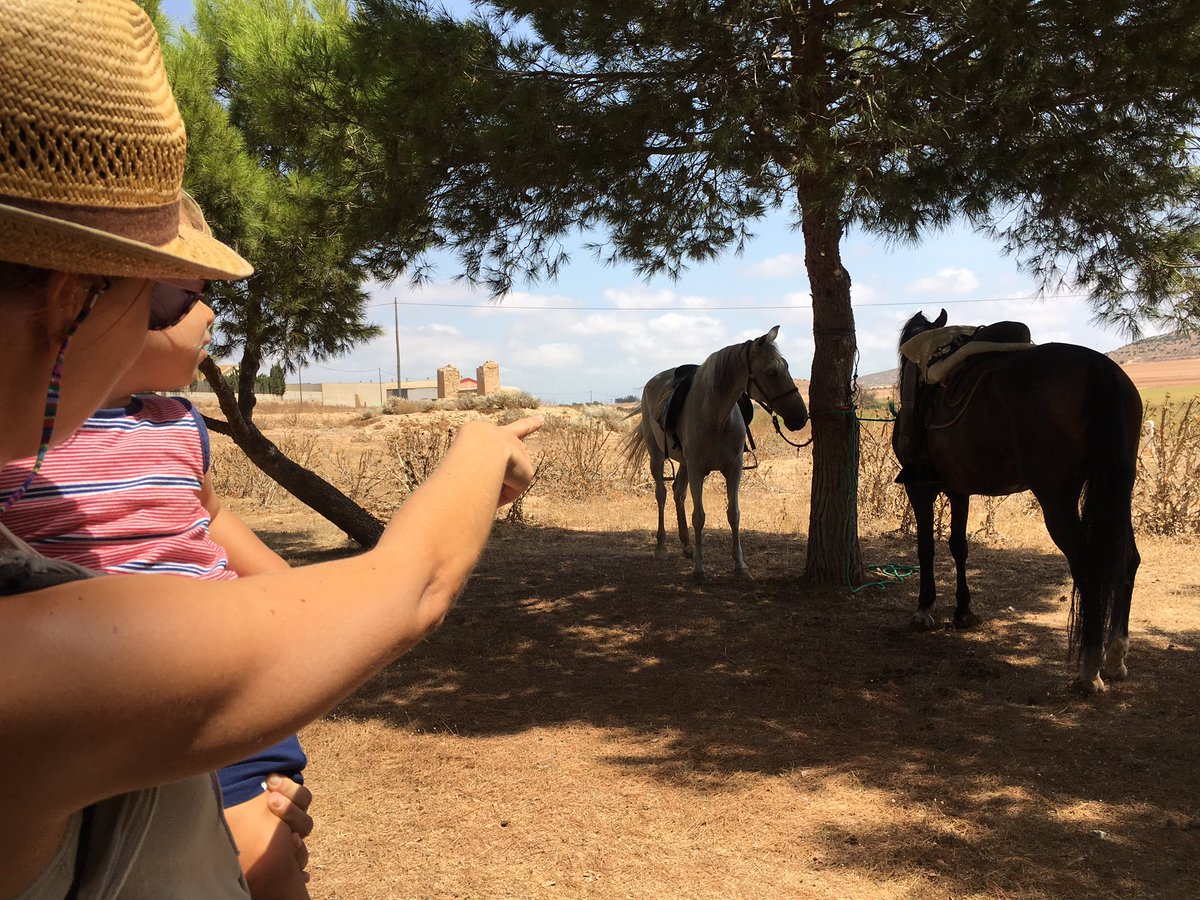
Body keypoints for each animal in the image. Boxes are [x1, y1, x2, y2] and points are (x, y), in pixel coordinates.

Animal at [622, 326, 809, 581]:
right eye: (772, 372)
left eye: (787, 366)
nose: (801, 417)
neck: (716, 417)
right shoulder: (697, 470)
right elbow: (699, 516)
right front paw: (699, 569)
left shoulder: (733, 468)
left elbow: (734, 514)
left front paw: (740, 566)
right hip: (657, 456)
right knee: (661, 494)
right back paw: (661, 547)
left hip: (684, 464)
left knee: (678, 492)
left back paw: (687, 545)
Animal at [894, 309, 1142, 693]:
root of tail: (1098, 368)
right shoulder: (959, 489)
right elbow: (958, 546)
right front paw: (963, 611)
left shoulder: (921, 489)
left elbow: (926, 548)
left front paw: (924, 609)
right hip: (1118, 488)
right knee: (1126, 560)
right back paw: (1115, 657)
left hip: (1057, 500)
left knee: (1089, 566)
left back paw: (1089, 671)